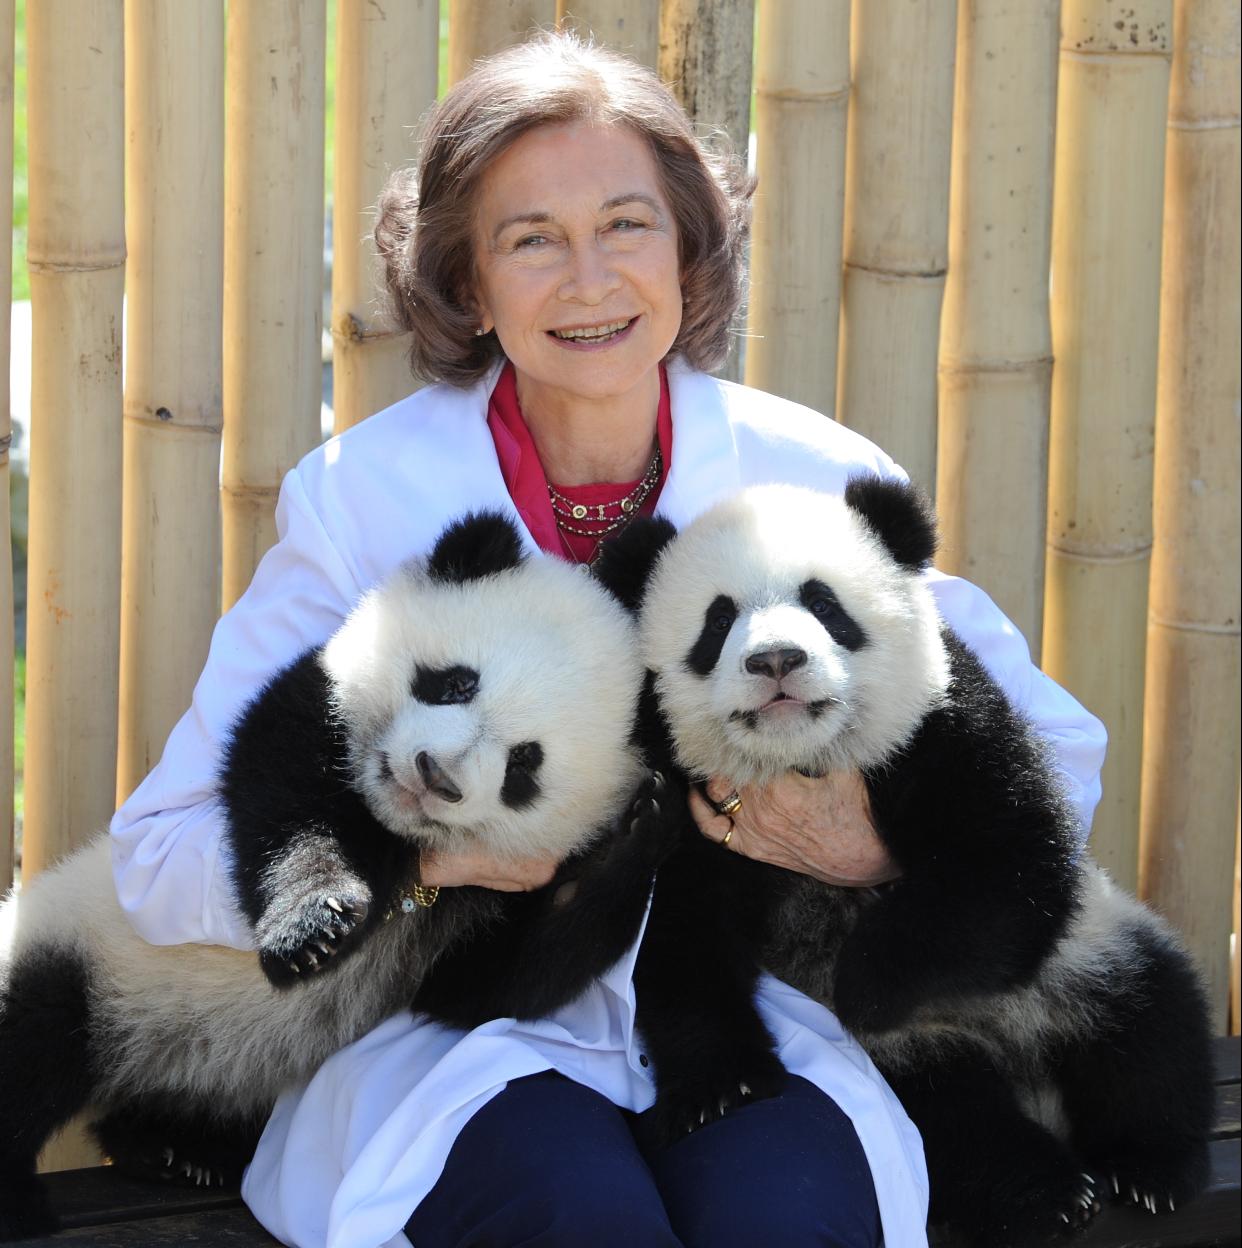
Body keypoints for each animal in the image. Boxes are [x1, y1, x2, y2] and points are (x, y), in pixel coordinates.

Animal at [0, 512, 676, 1242]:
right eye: (455, 682)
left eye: (525, 764)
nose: (435, 775)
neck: (402, 833)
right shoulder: (315, 700)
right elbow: (289, 801)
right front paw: (314, 926)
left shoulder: (475, 914)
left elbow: (493, 983)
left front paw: (641, 829)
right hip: (85, 952)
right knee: (35, 1038)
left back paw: (177, 1150)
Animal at [595, 479, 1214, 1247]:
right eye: (718, 621)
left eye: (825, 604)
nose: (775, 661)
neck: (800, 760)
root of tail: (1019, 1060)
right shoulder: (681, 795)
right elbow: (678, 934)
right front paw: (723, 1087)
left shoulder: (938, 728)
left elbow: (1008, 866)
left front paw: (866, 982)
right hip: (912, 1066)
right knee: (957, 1126)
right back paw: (1046, 1192)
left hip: (1088, 947)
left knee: (1148, 1028)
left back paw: (1147, 1168)